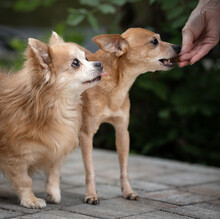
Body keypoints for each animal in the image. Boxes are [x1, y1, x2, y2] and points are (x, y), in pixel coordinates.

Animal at [79, 27, 180, 204]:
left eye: (160, 38)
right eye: (154, 41)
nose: (179, 46)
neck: (116, 85)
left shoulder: (122, 132)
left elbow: (124, 168)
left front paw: (128, 191)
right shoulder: (87, 134)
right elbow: (90, 169)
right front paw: (91, 194)